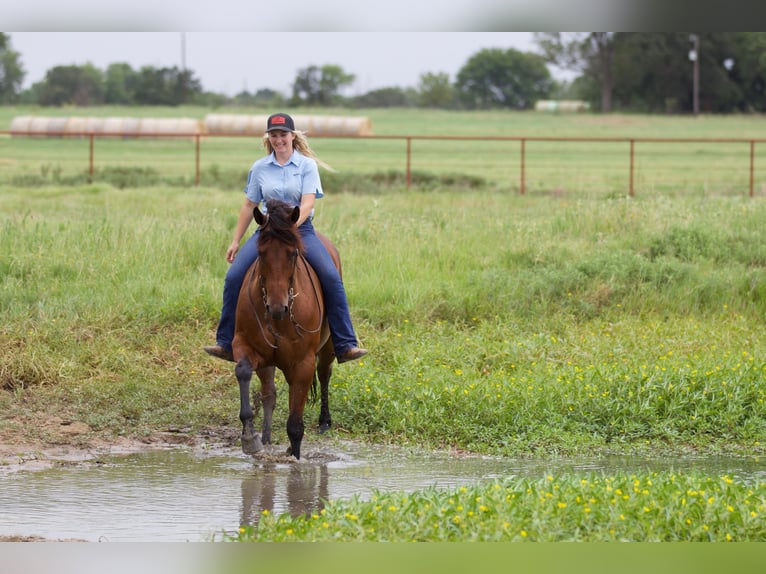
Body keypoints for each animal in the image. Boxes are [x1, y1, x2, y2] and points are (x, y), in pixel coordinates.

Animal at [232, 200, 338, 462]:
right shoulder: (248, 347)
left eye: (293, 253)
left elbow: (295, 426)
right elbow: (243, 371)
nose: (277, 307)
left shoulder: (303, 363)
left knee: (324, 374)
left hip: (327, 349)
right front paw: (250, 438)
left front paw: (295, 460)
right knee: (270, 391)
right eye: (261, 253)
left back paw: (324, 422)